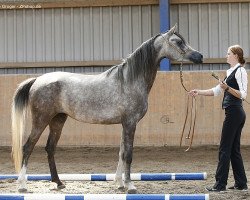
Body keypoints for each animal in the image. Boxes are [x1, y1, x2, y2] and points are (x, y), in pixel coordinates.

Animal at [11, 24, 203, 193]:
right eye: (178, 42)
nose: (199, 56)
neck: (129, 81)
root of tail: (37, 80)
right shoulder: (130, 123)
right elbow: (128, 154)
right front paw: (130, 185)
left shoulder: (125, 124)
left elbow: (121, 153)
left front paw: (119, 183)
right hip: (41, 120)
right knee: (27, 147)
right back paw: (22, 185)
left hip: (57, 120)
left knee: (50, 148)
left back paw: (59, 183)